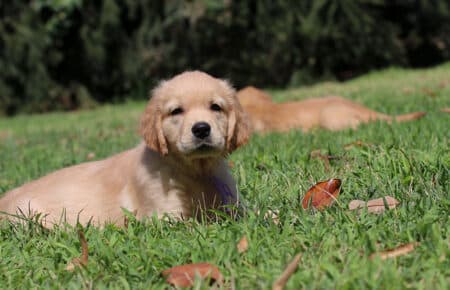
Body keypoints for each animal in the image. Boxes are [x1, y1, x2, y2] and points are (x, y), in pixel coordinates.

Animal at [0, 71, 250, 228]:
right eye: (176, 111)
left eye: (216, 107)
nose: (201, 129)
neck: (195, 170)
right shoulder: (166, 216)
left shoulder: (232, 203)